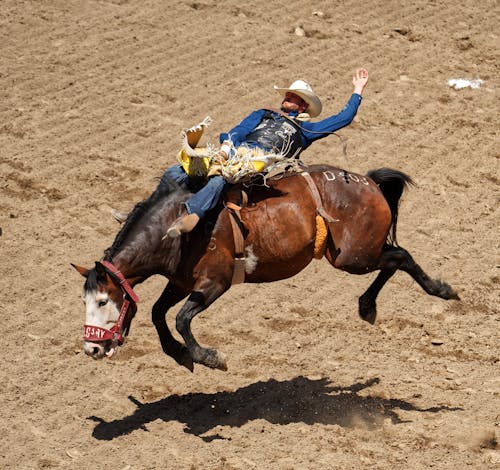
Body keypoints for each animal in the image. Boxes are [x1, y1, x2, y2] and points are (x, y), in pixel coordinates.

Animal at [72, 165, 458, 370]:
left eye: (103, 301)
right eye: (84, 302)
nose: (91, 349)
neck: (179, 227)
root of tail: (369, 182)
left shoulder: (214, 283)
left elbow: (181, 318)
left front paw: (209, 356)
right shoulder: (180, 282)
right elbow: (157, 313)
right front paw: (179, 354)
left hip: (354, 257)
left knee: (401, 256)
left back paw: (437, 290)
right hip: (353, 255)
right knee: (394, 258)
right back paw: (368, 306)